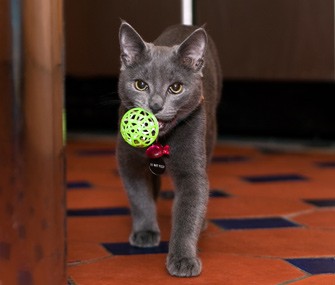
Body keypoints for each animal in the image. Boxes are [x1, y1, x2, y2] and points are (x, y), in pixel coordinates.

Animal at [117, 21, 222, 276]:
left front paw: (183, 259)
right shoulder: (128, 161)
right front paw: (145, 231)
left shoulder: (192, 168)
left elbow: (189, 211)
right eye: (140, 85)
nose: (155, 105)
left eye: (176, 88)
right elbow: (139, 196)